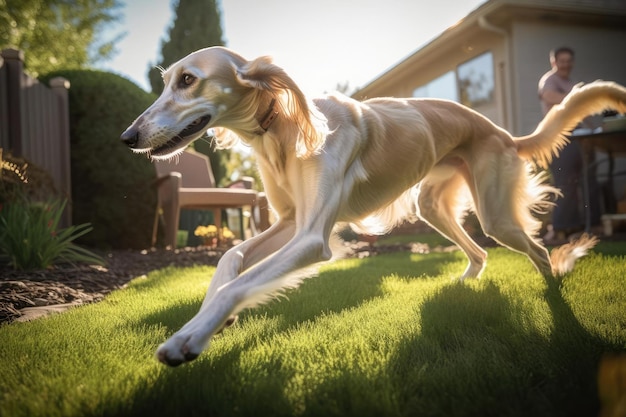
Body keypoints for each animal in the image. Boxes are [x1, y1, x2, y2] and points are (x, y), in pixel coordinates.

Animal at [120, 46, 624, 364]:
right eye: (167, 82)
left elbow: (235, 283)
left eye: (188, 80)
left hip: (496, 215)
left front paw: (189, 338)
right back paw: (465, 284)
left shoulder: (310, 238)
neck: (280, 127)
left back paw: (555, 291)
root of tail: (500, 131)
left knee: (537, 250)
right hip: (433, 208)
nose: (128, 137)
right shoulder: (288, 223)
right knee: (480, 252)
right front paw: (208, 324)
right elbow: (229, 259)